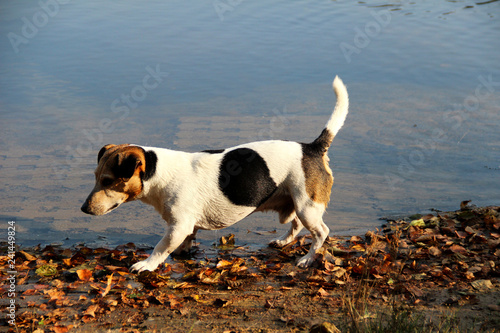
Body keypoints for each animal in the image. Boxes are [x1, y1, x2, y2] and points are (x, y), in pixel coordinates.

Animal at [81, 76, 348, 272]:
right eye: (94, 177)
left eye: (107, 181)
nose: (83, 208)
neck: (159, 173)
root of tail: (311, 147)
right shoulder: (186, 227)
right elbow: (184, 242)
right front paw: (182, 253)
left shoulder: (178, 226)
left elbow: (160, 247)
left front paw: (147, 264)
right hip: (295, 203)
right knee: (295, 225)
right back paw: (283, 241)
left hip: (307, 206)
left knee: (321, 233)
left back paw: (308, 258)